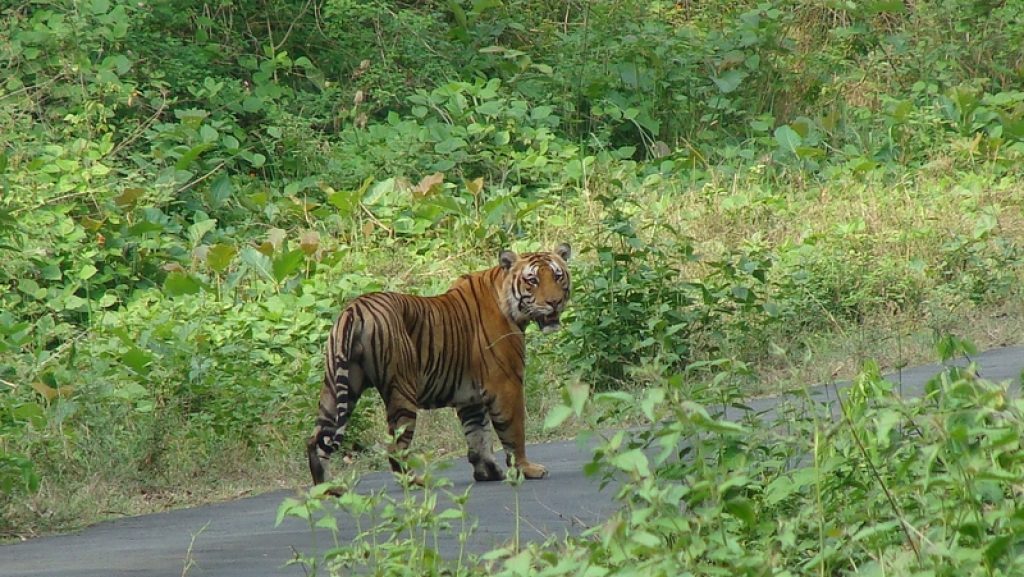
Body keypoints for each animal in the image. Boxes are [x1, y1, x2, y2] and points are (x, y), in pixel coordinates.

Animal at [307, 241, 573, 485]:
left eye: (557, 276)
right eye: (532, 280)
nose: (554, 302)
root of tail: (354, 309)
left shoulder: (470, 397)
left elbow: (478, 435)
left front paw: (487, 472)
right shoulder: (507, 384)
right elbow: (513, 432)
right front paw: (526, 469)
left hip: (337, 386)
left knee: (316, 440)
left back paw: (327, 489)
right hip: (401, 390)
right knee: (394, 446)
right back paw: (415, 481)